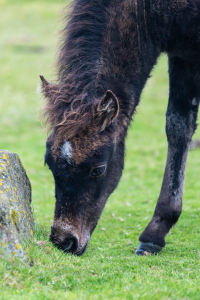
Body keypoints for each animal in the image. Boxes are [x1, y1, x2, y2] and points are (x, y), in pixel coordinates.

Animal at [41, 0, 200, 255]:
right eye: (49, 163)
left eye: (99, 169)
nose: (64, 241)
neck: (148, 10)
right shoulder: (183, 53)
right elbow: (178, 126)